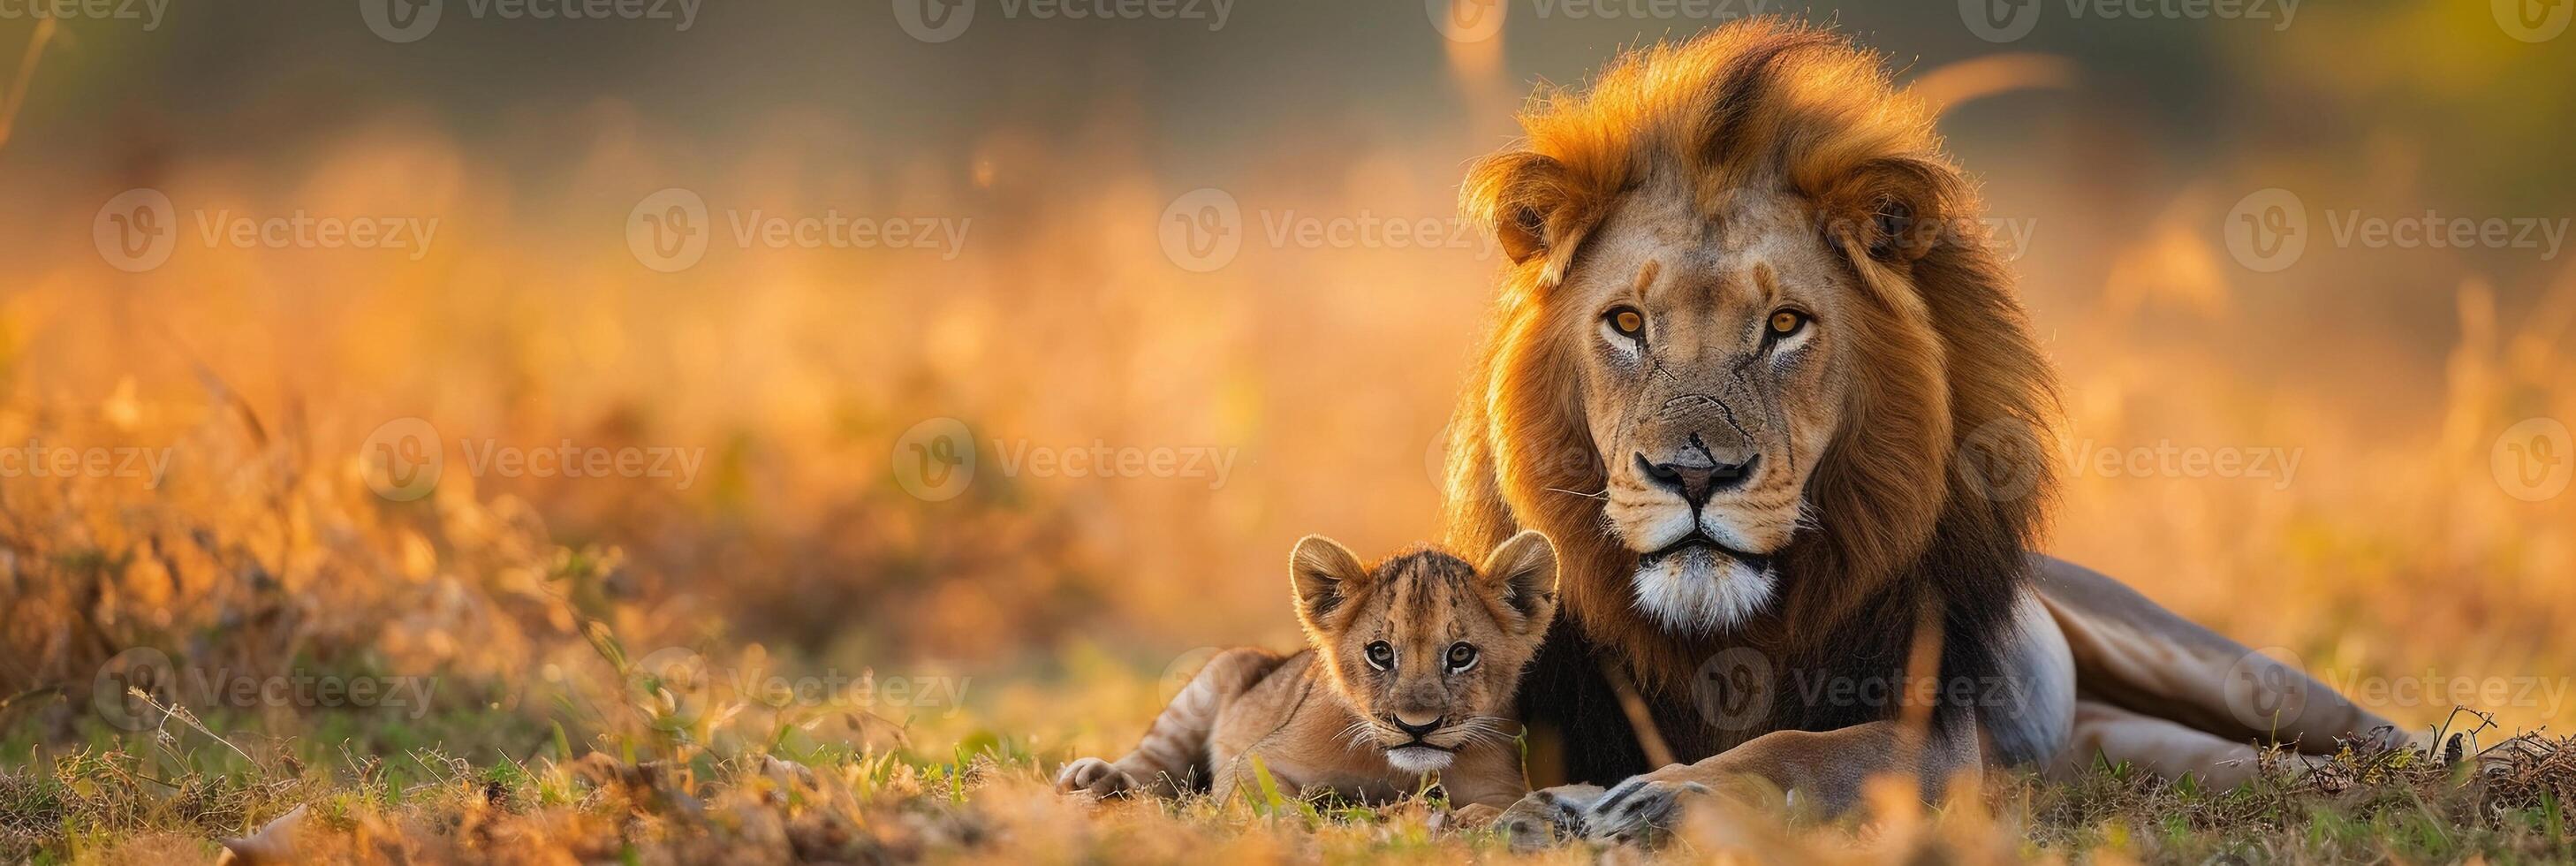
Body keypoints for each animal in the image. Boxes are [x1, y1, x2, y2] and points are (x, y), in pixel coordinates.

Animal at [1442, 19, 2400, 839]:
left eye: (1784, 324)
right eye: (1628, 323)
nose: (1696, 475)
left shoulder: (1934, 730)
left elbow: (1795, 751)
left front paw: (1660, 797)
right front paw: (1546, 810)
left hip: (2216, 664)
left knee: (2361, 725)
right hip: (2124, 740)